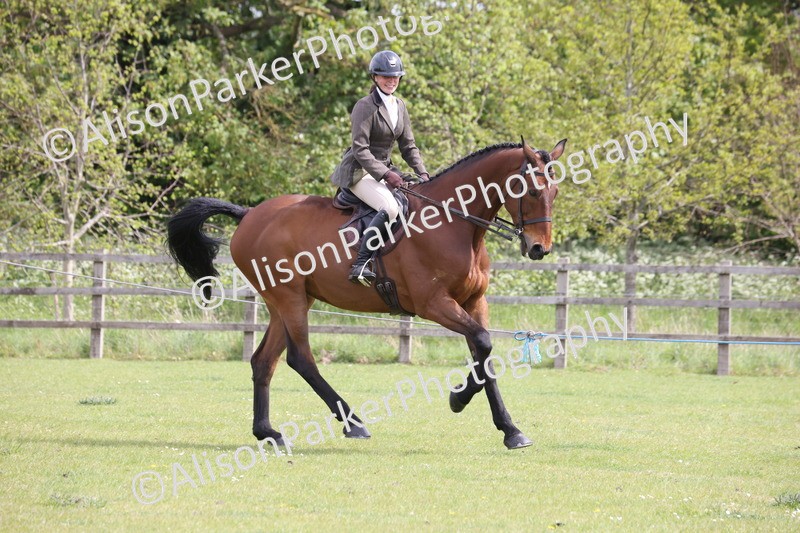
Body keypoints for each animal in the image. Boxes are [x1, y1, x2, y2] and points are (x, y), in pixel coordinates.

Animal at [167, 137, 566, 449]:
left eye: (555, 192)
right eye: (531, 191)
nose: (539, 249)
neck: (454, 223)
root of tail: (250, 214)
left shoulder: (474, 302)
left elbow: (484, 357)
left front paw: (510, 430)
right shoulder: (434, 304)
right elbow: (483, 343)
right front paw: (457, 399)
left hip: (289, 301)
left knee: (264, 361)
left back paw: (268, 433)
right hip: (289, 299)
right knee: (300, 359)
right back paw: (353, 423)